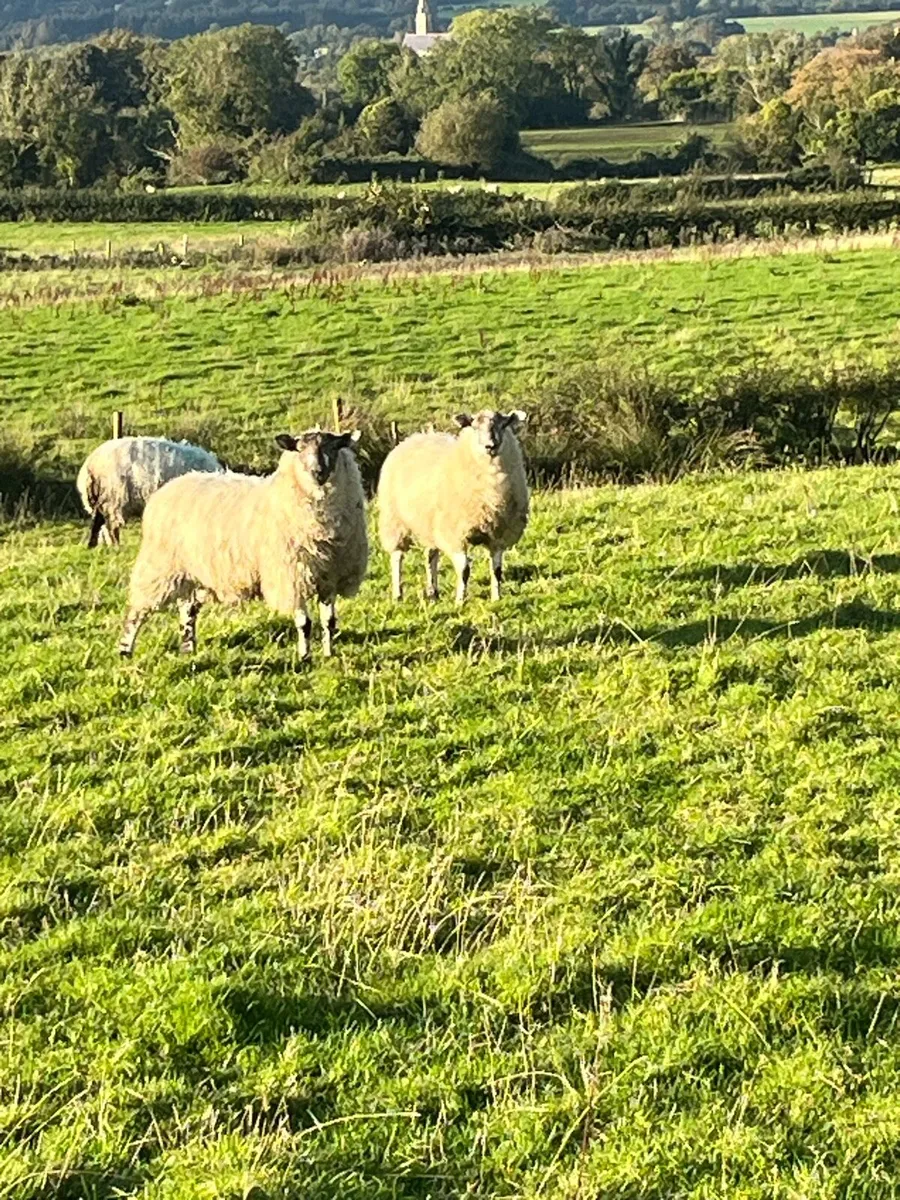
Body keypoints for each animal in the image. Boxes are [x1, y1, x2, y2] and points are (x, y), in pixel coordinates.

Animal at [76, 436, 223, 548]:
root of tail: (90, 465)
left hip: (101, 499)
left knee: (98, 523)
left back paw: (93, 545)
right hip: (112, 498)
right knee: (110, 526)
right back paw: (115, 546)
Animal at [119, 429, 368, 661]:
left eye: (334, 447)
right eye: (299, 449)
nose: (318, 472)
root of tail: (170, 486)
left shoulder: (330, 577)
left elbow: (329, 621)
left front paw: (328, 654)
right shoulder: (291, 576)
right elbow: (304, 623)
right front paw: (305, 657)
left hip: (193, 573)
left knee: (187, 610)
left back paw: (188, 649)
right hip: (159, 568)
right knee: (137, 611)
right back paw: (125, 649)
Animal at [377, 410, 528, 605]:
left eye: (503, 425)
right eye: (474, 426)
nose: (490, 446)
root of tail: (416, 436)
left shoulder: (498, 535)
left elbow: (497, 570)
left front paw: (496, 598)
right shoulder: (455, 534)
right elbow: (464, 570)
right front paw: (460, 601)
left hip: (430, 523)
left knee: (430, 555)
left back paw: (433, 592)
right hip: (394, 519)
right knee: (397, 556)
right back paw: (398, 594)